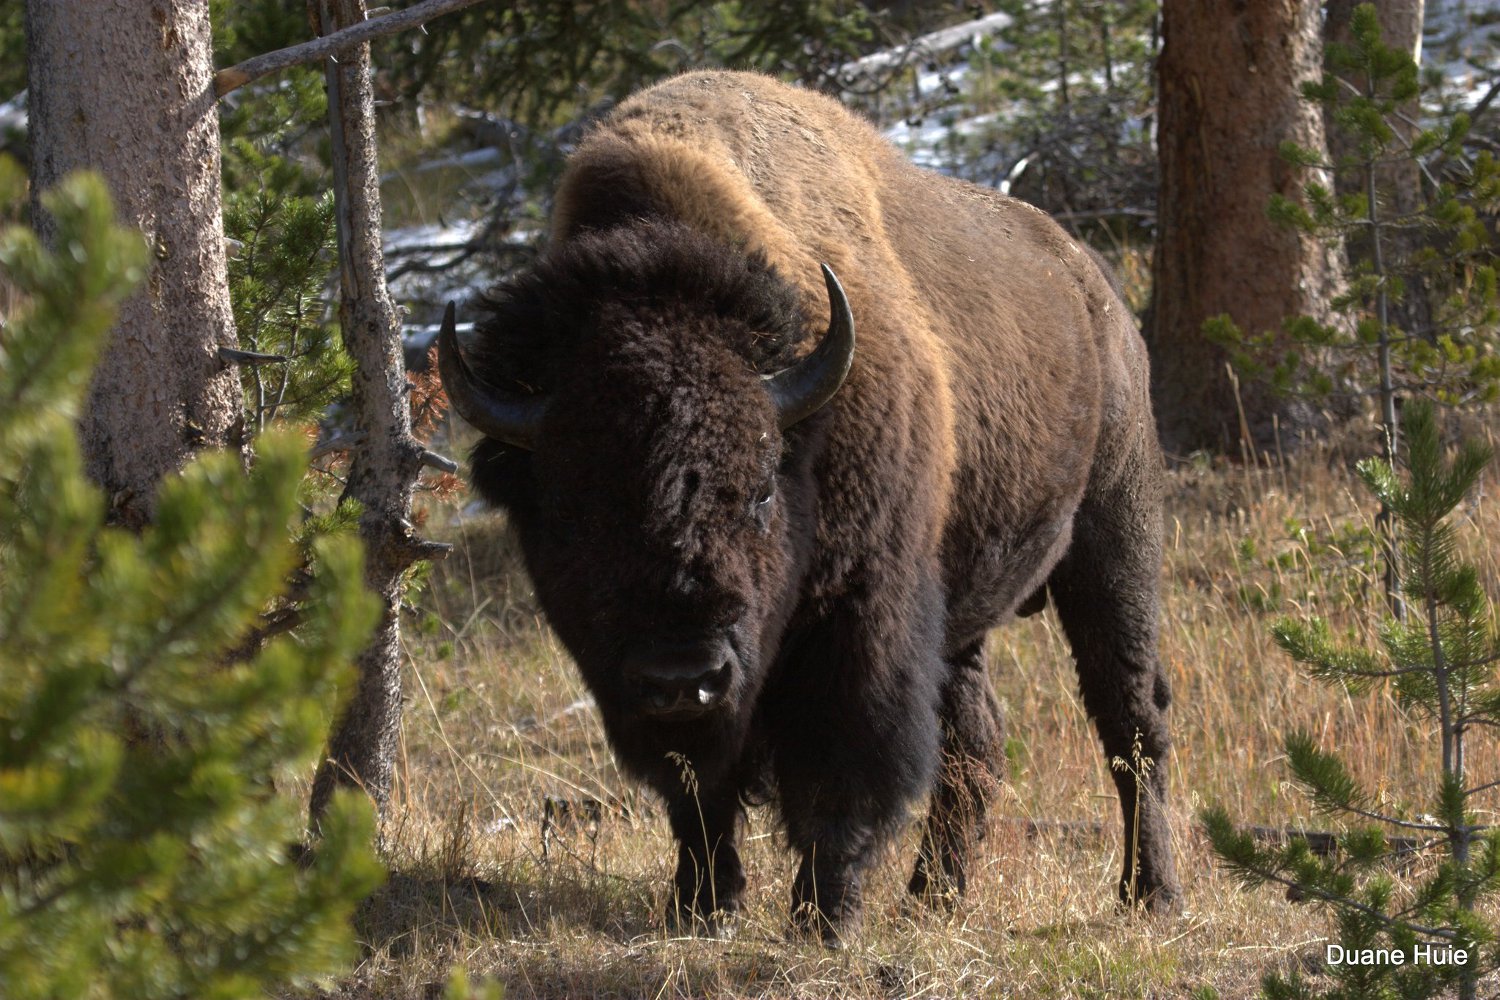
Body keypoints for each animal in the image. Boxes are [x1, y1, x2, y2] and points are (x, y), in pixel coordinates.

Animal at [440, 70, 1180, 941]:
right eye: (570, 508)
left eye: (762, 486)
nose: (683, 675)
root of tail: (1094, 288)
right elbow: (697, 790)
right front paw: (701, 904)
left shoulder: (860, 616)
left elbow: (838, 766)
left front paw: (823, 916)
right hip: (963, 606)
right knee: (978, 741)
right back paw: (934, 896)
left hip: (1114, 537)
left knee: (1130, 718)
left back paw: (1150, 893)